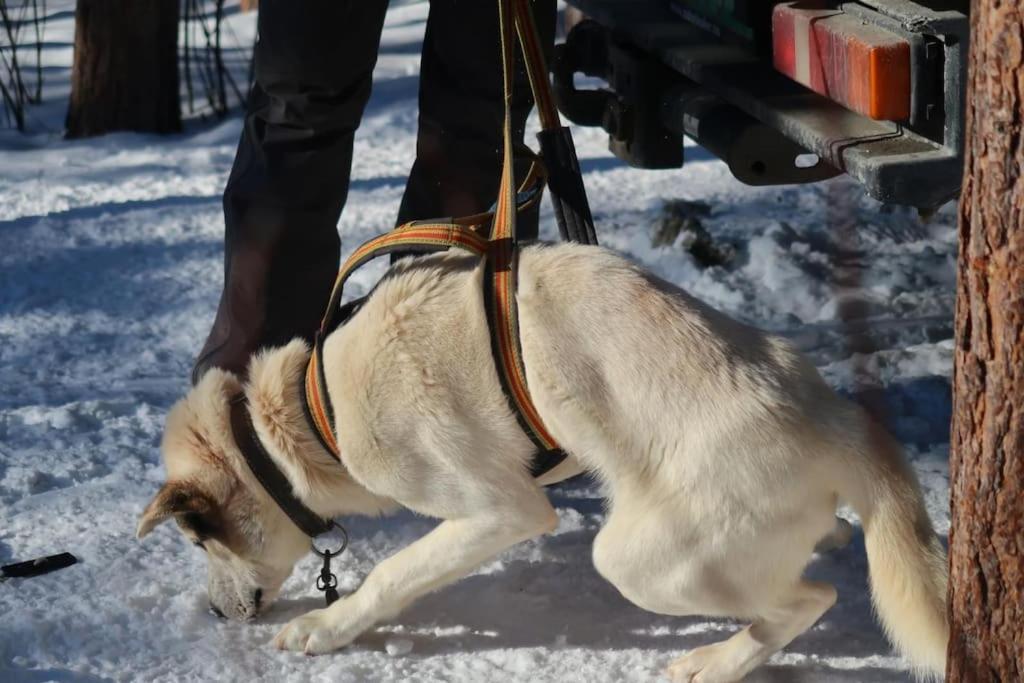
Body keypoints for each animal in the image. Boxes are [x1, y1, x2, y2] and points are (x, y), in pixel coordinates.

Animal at [138, 242, 950, 679]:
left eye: (197, 539)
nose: (216, 613)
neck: (314, 407)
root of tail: (839, 419)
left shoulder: (501, 510)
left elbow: (393, 574)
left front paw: (326, 628)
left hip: (643, 561)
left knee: (814, 598)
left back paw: (719, 660)